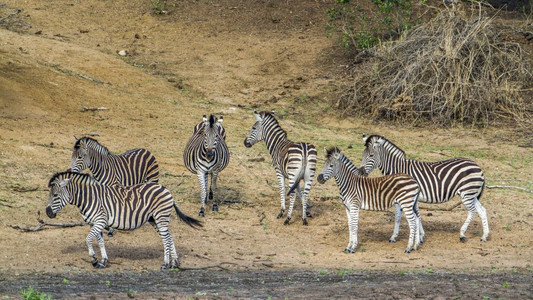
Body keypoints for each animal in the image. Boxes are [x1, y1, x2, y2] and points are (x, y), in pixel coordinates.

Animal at [45, 171, 202, 270]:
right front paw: (103, 261)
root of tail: (166, 190)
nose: (47, 213)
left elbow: (88, 239)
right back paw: (175, 263)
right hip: (154, 219)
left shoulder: (100, 221)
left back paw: (165, 263)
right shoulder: (95, 223)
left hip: (160, 216)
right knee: (169, 236)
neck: (88, 198)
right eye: (50, 195)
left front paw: (94, 259)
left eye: (56, 195)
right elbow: (100, 241)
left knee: (165, 239)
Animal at [360, 135, 488, 243]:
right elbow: (415, 215)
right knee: (482, 210)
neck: (398, 169)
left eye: (371, 155)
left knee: (472, 211)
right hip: (471, 194)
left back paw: (462, 234)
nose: (361, 172)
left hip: (466, 193)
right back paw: (484, 236)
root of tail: (478, 166)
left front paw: (395, 237)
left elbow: (400, 216)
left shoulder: (405, 196)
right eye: (362, 155)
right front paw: (420, 236)